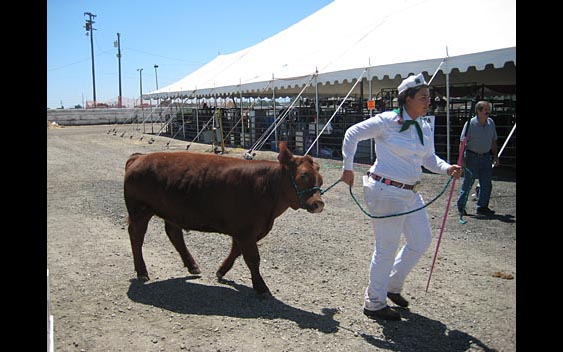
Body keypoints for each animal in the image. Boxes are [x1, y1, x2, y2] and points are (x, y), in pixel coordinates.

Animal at [123, 142, 326, 296]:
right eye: (303, 175)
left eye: (321, 179)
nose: (318, 203)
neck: (266, 186)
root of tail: (139, 157)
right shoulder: (246, 230)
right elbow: (252, 258)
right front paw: (261, 287)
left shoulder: (247, 231)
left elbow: (236, 252)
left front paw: (221, 271)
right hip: (139, 210)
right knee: (136, 237)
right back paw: (142, 271)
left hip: (171, 211)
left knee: (174, 234)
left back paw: (192, 266)